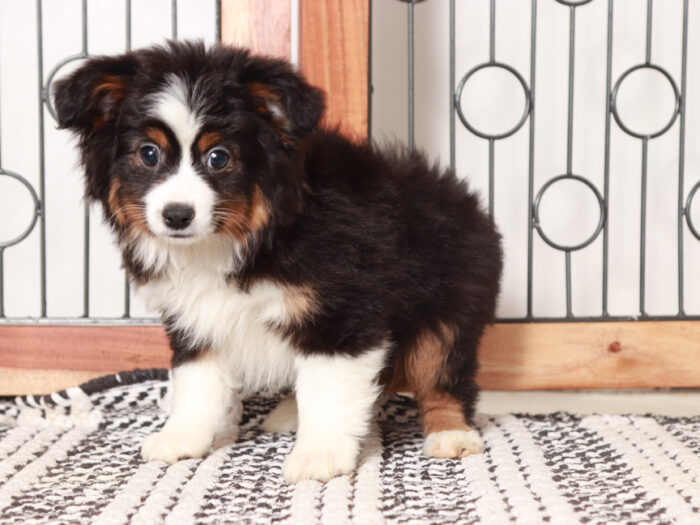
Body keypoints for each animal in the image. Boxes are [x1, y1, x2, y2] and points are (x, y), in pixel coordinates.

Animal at [54, 42, 504, 484]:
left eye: (219, 158)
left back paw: (451, 434)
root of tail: (466, 200)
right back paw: (290, 413)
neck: (238, 241)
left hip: (450, 309)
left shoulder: (343, 312)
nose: (177, 215)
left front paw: (318, 456)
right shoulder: (194, 318)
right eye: (148, 154)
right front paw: (180, 438)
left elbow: (328, 391)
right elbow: (195, 382)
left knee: (444, 374)